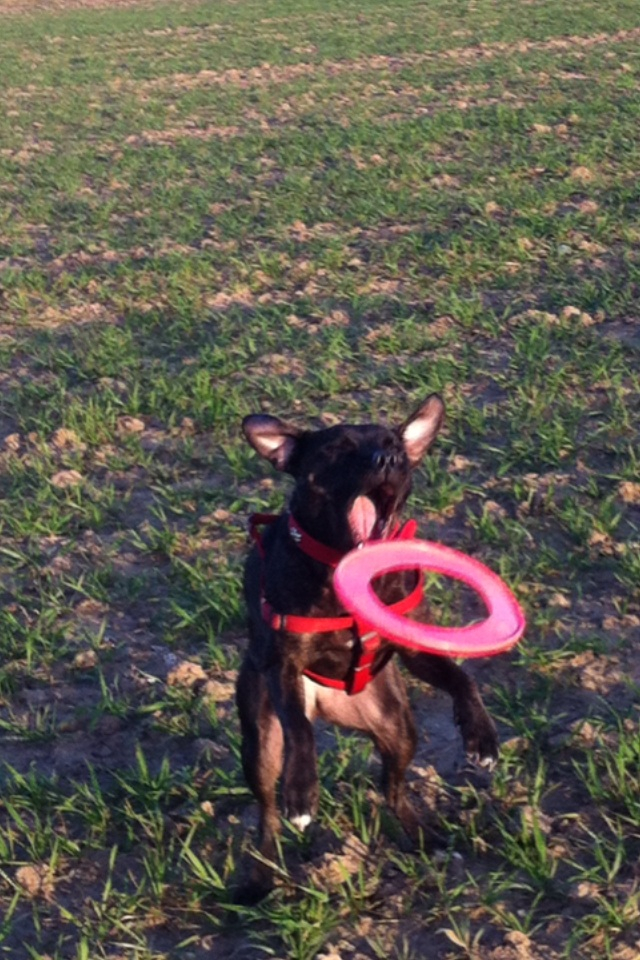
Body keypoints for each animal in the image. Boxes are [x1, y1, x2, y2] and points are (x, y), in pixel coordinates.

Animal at [236, 392, 500, 900]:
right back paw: (259, 878)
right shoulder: (283, 666)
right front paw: (303, 790)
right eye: (336, 450)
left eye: (395, 445)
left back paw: (424, 838)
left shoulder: (417, 649)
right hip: (260, 741)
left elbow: (462, 678)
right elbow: (299, 730)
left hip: (398, 728)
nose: (388, 459)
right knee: (267, 813)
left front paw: (481, 735)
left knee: (391, 787)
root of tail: (330, 702)